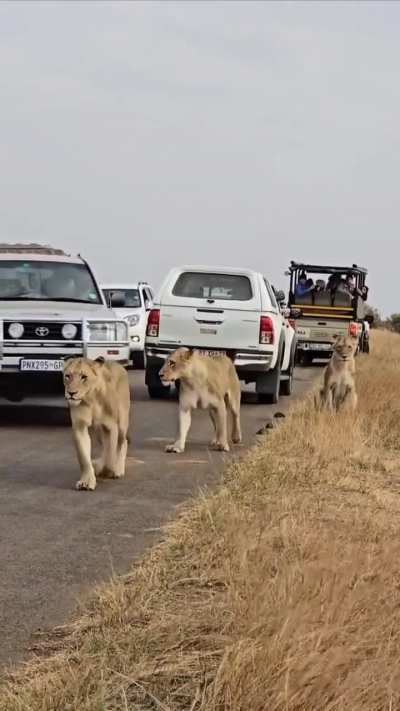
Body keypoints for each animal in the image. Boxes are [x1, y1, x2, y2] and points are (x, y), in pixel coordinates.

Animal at [63, 357, 130, 491]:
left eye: (84, 377)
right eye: (67, 376)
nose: (71, 393)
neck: (91, 399)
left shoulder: (111, 426)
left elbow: (111, 452)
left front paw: (109, 470)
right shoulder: (80, 426)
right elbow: (83, 457)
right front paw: (87, 481)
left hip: (121, 422)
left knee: (122, 442)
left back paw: (118, 469)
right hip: (99, 429)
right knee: (105, 446)